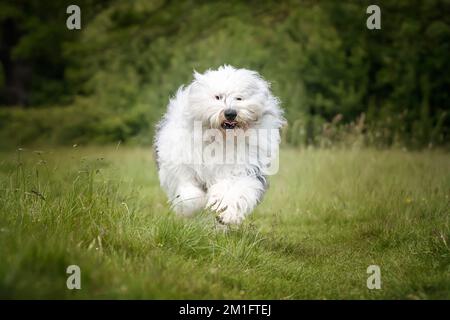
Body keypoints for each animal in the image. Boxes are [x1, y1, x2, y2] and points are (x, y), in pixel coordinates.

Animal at [153, 65, 284, 225]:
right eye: (218, 97)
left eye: (239, 98)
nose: (230, 113)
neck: (220, 139)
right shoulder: (181, 169)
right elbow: (189, 193)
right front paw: (195, 206)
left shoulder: (244, 169)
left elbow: (236, 191)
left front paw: (226, 212)